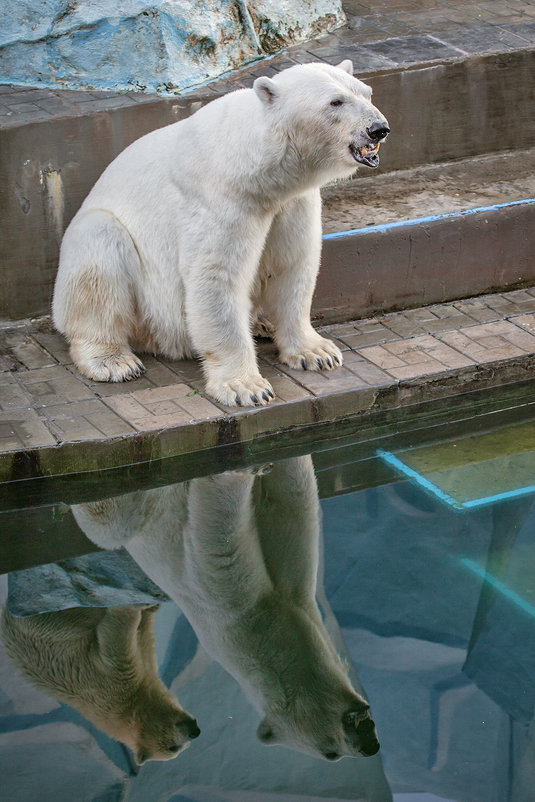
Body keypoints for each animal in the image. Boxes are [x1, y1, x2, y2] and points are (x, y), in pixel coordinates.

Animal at [1, 600, 201, 764]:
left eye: (179, 748)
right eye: (172, 748)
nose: (195, 731)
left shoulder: (145, 659)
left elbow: (143, 630)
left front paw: (151, 608)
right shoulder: (113, 687)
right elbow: (114, 637)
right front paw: (133, 607)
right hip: (43, 626)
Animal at [52, 61, 390, 406]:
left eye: (366, 92)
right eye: (335, 102)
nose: (378, 128)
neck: (260, 170)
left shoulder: (291, 201)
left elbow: (292, 264)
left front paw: (318, 352)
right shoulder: (222, 199)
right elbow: (216, 276)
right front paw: (246, 387)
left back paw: (262, 322)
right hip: (126, 276)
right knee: (98, 258)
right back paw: (113, 361)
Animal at [72, 456, 382, 756]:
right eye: (331, 753)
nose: (370, 745)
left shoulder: (289, 583)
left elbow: (291, 497)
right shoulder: (232, 609)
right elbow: (218, 535)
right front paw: (240, 471)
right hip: (129, 521)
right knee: (109, 520)